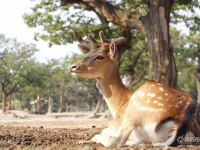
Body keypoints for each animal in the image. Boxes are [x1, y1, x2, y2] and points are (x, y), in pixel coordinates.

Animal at [69, 31, 200, 147]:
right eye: (86, 54)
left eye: (100, 57)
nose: (72, 67)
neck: (119, 108)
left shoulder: (116, 124)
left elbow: (101, 134)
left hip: (135, 112)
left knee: (117, 141)